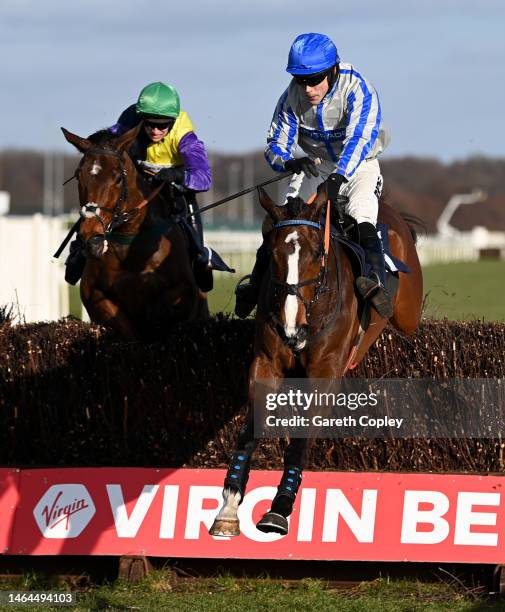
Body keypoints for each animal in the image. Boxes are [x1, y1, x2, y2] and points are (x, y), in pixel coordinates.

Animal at [62, 125, 208, 340]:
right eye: (79, 175)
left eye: (118, 178)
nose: (92, 240)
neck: (131, 246)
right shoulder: (95, 296)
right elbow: (127, 329)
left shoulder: (184, 291)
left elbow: (158, 313)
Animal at [209, 185, 422, 536]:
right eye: (272, 254)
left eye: (317, 255)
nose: (291, 328)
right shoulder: (266, 363)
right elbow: (249, 432)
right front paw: (228, 507)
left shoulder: (324, 371)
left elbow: (300, 440)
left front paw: (279, 508)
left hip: (408, 313)